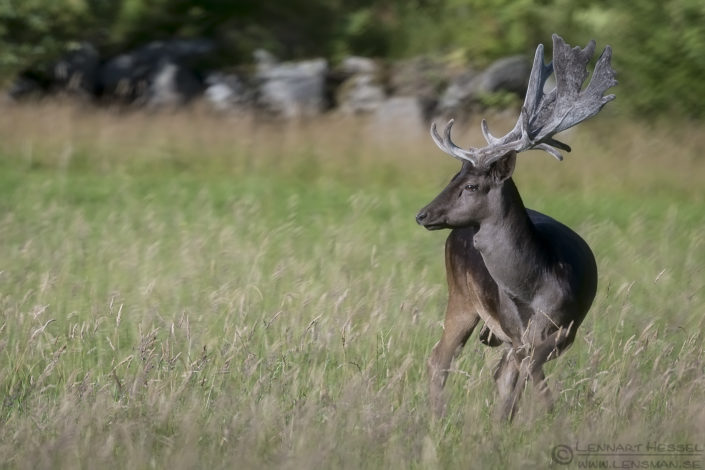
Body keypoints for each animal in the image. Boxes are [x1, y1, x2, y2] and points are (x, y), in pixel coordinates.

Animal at [415, 34, 616, 421]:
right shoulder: (515, 327)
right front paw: (540, 417)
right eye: (452, 177)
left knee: (496, 369)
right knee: (440, 358)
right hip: (460, 297)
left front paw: (524, 419)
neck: (534, 287)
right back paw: (438, 418)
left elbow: (524, 373)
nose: (422, 215)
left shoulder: (564, 327)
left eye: (471, 185)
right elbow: (523, 373)